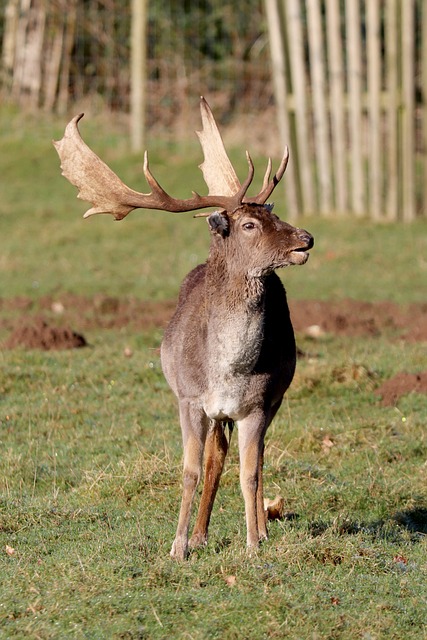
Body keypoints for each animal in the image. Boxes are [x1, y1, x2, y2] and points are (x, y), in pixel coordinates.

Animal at [54, 96, 314, 560]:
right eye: (249, 224)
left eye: (277, 214)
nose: (306, 238)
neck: (227, 370)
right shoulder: (189, 399)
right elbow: (192, 469)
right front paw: (178, 546)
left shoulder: (257, 405)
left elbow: (250, 473)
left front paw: (253, 544)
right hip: (209, 408)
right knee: (216, 456)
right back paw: (200, 534)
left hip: (275, 399)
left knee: (253, 457)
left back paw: (258, 529)